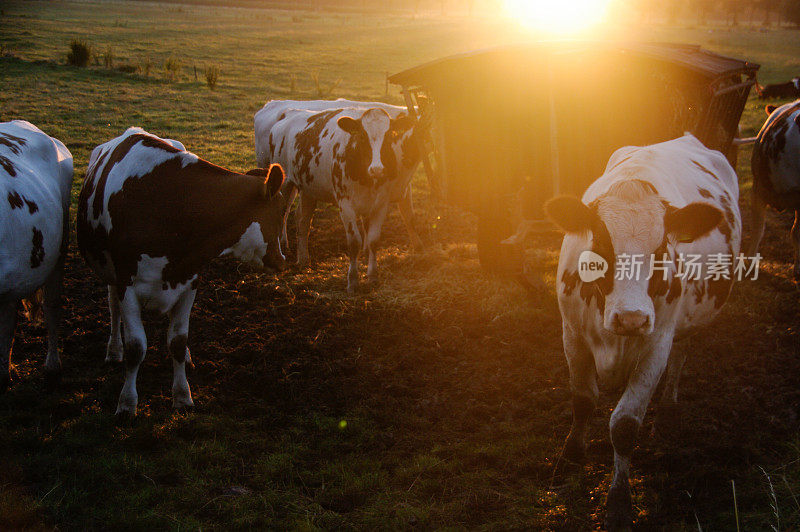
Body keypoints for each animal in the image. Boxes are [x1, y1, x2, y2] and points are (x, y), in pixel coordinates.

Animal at [77, 127, 288, 418]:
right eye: (279, 215)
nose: (282, 261)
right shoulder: (126, 283)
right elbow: (136, 347)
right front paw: (127, 403)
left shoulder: (189, 281)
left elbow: (177, 341)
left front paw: (182, 396)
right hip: (109, 273)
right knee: (113, 308)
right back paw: (113, 349)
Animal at [260, 104, 424, 294]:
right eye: (362, 136)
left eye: (390, 135)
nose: (377, 169)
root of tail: (289, 113)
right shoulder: (345, 205)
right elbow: (354, 242)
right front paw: (352, 281)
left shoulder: (380, 204)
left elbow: (373, 240)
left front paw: (373, 276)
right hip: (285, 182)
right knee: (282, 214)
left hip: (309, 189)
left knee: (303, 220)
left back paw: (303, 259)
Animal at [548, 134, 740, 532]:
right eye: (600, 247)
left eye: (662, 250)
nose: (631, 318)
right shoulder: (571, 332)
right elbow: (582, 399)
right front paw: (570, 456)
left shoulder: (657, 343)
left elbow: (624, 425)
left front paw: (619, 503)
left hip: (683, 329)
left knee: (681, 356)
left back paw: (667, 408)